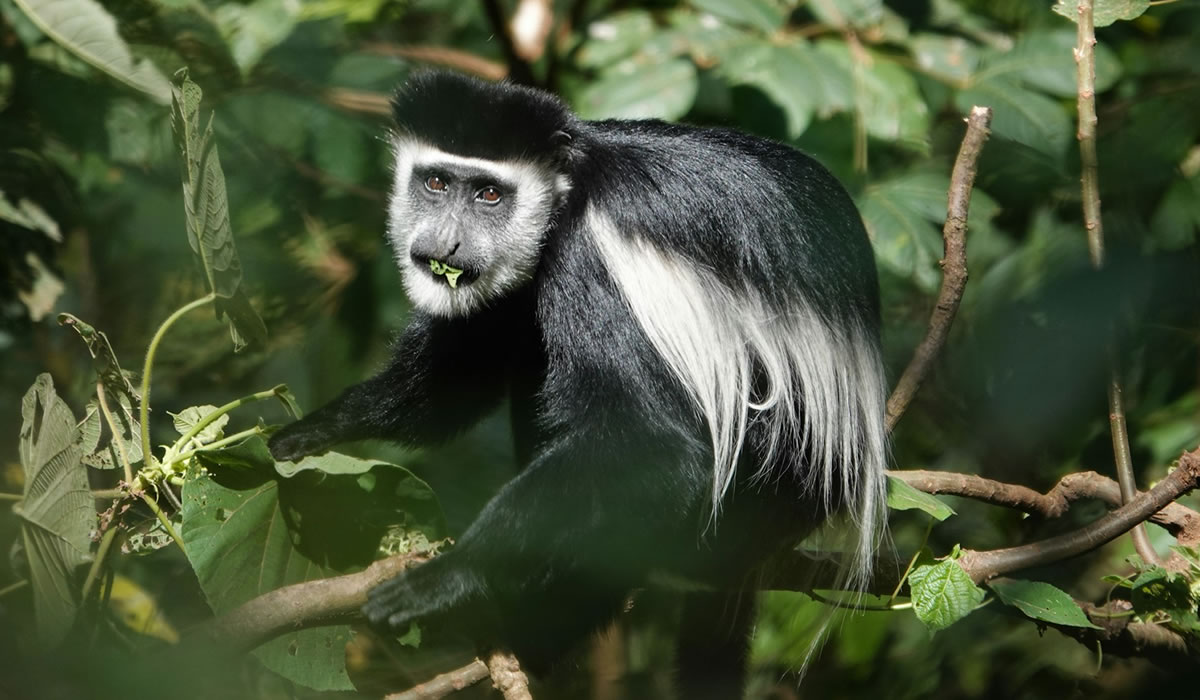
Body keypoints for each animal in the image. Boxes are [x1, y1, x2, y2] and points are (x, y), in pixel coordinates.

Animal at [268, 71, 887, 696]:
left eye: (489, 195)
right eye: (436, 182)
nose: (444, 243)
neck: (566, 193)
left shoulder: (588, 260)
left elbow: (649, 444)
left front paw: (447, 578)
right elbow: (465, 369)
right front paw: (309, 432)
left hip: (760, 485)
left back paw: (530, 633)